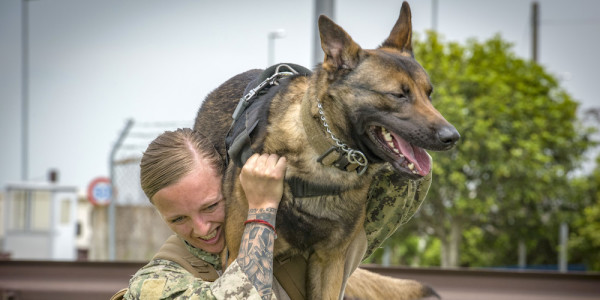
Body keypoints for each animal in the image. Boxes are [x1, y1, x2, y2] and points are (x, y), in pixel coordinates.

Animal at [195, 1, 458, 298]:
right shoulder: (239, 254)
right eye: (398, 95)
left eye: (429, 93)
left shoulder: (329, 262)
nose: (452, 137)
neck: (323, 157)